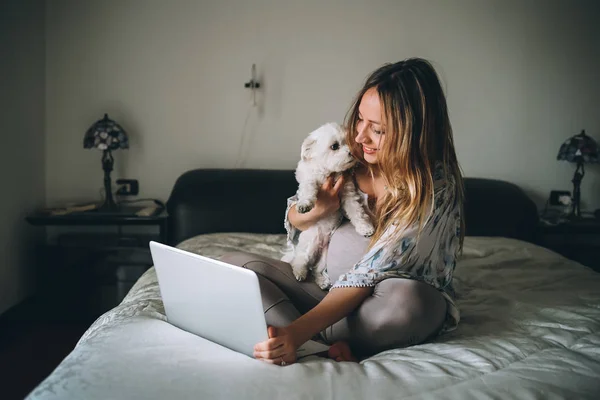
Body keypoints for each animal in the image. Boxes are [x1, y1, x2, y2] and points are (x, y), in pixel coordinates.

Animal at [282, 123, 376, 290]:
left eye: (351, 141)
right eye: (334, 146)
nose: (352, 152)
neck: (330, 171)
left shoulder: (348, 193)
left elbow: (357, 212)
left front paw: (365, 228)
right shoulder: (309, 179)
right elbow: (308, 188)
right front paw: (304, 204)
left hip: (325, 258)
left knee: (316, 270)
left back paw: (322, 281)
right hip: (310, 245)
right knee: (300, 260)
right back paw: (299, 272)